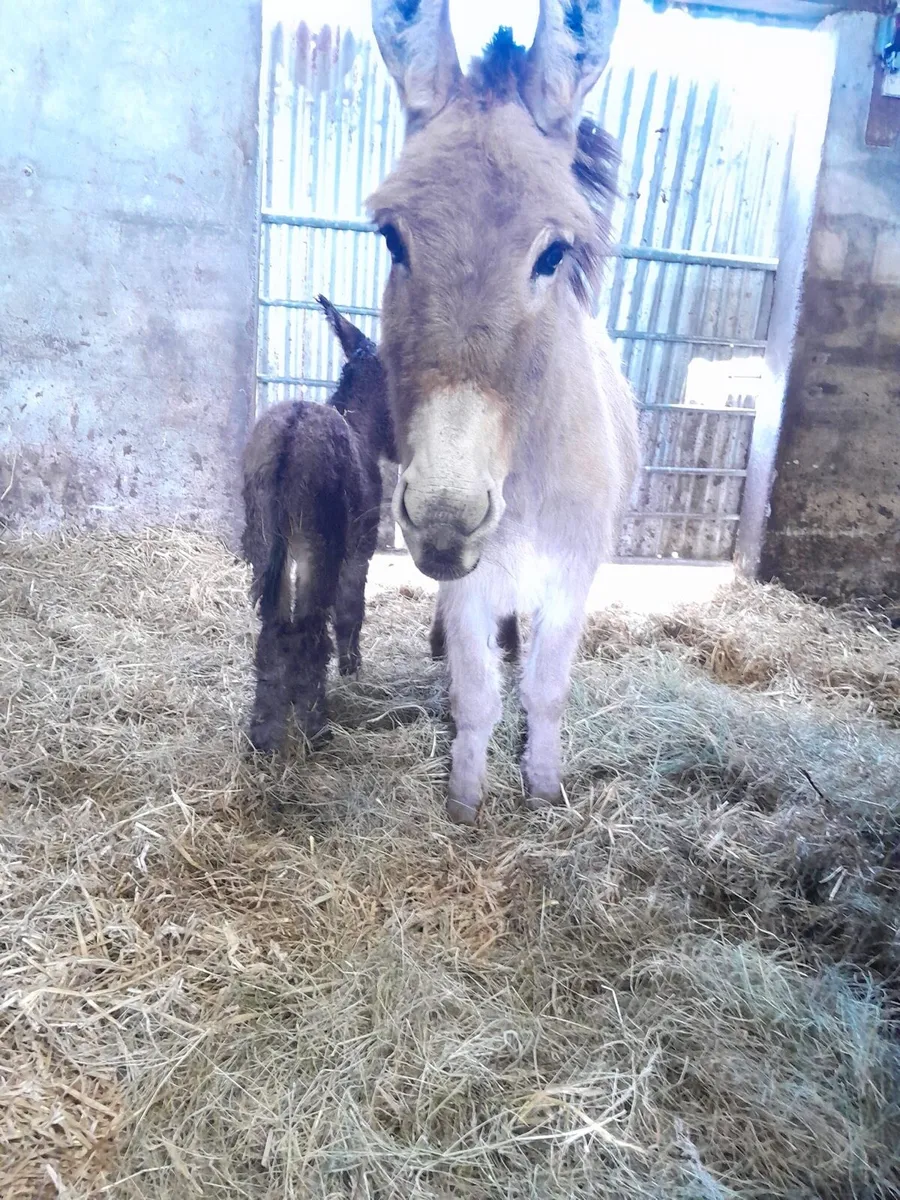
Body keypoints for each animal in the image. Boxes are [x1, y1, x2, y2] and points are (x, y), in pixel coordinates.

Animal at [241, 296, 396, 752]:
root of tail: (291, 435)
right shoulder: (359, 550)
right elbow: (351, 611)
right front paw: (351, 670)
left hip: (265, 539)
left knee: (274, 624)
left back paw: (264, 733)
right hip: (320, 544)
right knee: (310, 625)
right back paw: (314, 724)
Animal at [369, 0, 640, 823]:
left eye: (553, 256)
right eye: (390, 238)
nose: (446, 517)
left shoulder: (572, 576)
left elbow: (545, 693)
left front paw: (544, 788)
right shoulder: (468, 587)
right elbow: (477, 695)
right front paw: (464, 800)